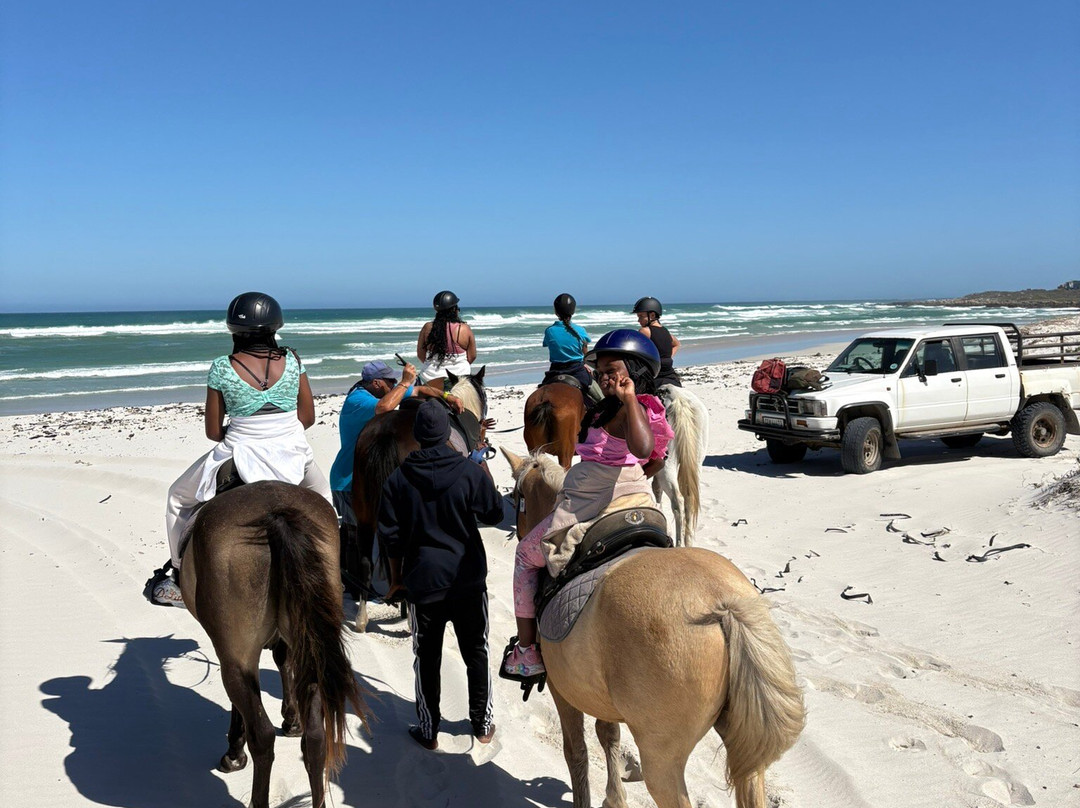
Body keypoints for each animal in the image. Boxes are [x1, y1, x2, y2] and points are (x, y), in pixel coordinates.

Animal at [179, 480, 369, 808]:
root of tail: (276, 515)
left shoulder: (233, 653)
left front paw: (235, 750)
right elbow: (284, 662)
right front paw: (292, 719)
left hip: (236, 659)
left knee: (263, 736)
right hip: (313, 649)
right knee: (316, 738)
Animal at [501, 449, 804, 808]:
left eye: (516, 497)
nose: (518, 534)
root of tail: (724, 605)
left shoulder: (563, 691)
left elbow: (576, 752)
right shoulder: (602, 695)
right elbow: (608, 734)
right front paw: (615, 797)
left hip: (661, 761)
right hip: (742, 750)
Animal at [652, 384, 709, 547]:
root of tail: (677, 398)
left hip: (667, 466)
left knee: (678, 501)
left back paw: (678, 544)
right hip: (697, 462)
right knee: (689, 499)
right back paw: (688, 542)